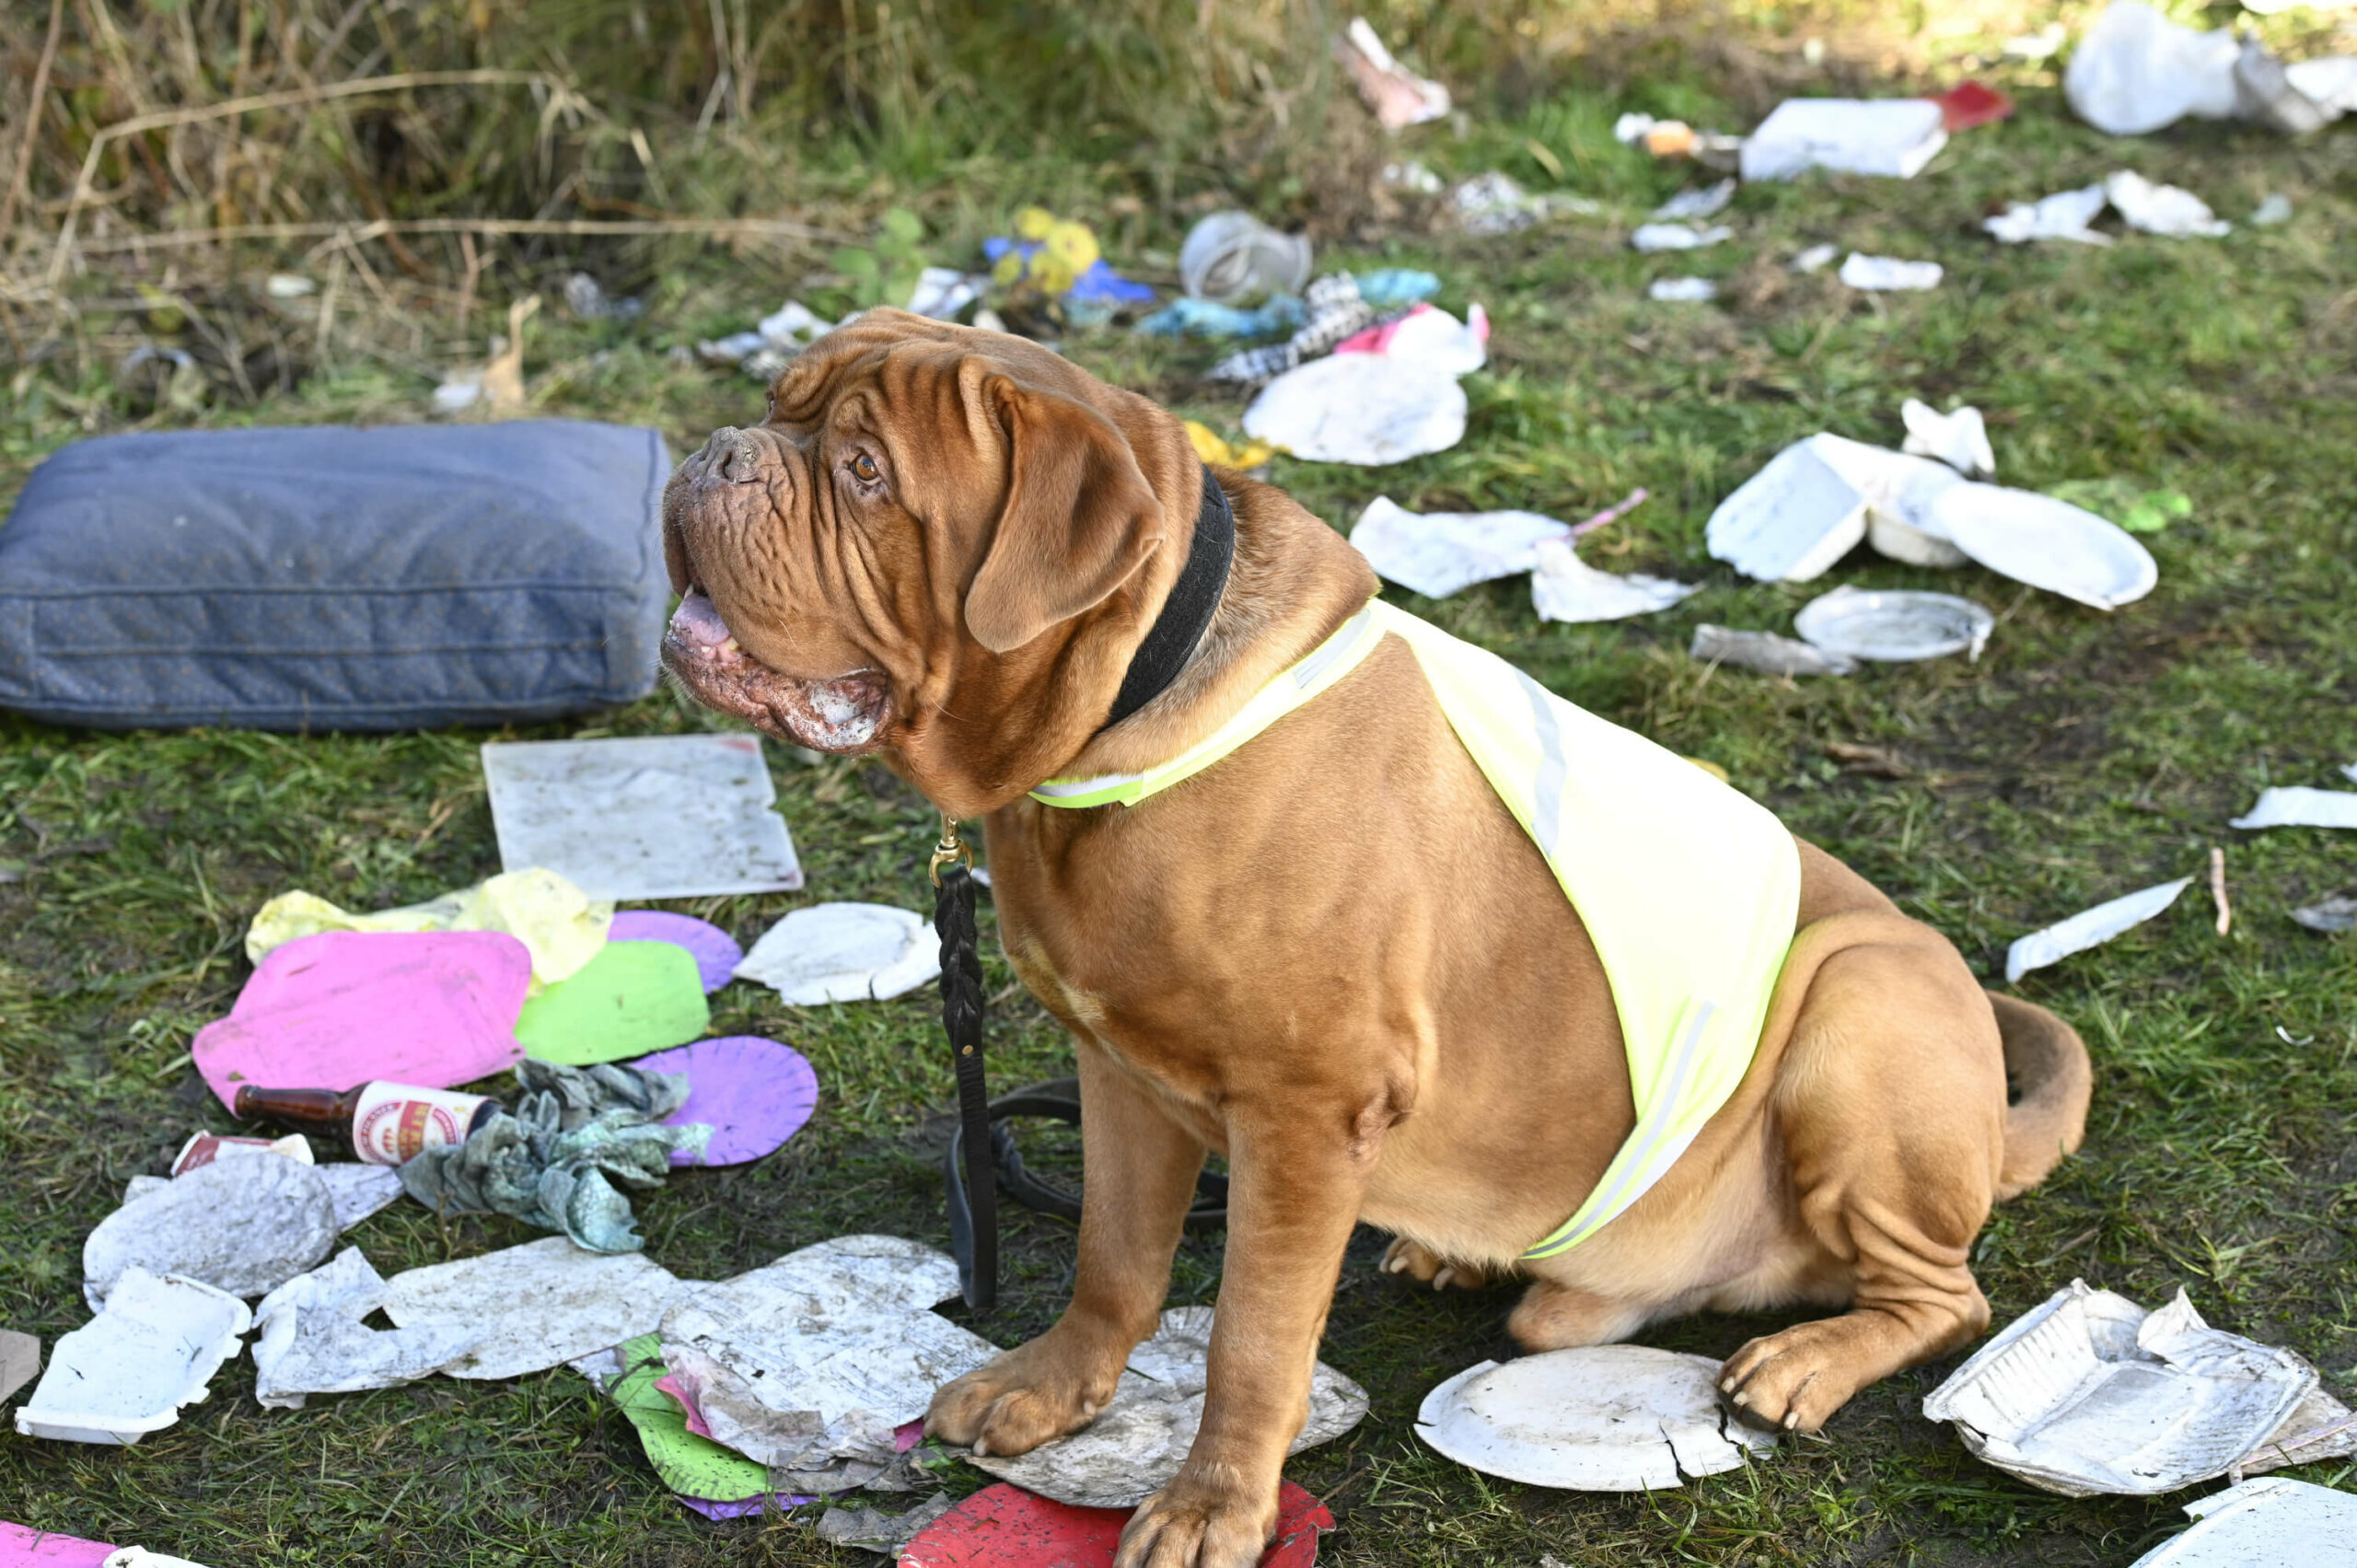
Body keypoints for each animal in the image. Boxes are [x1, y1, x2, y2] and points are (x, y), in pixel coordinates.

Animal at [659, 309, 2092, 1568]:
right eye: (779, 406)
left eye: (864, 473)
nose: (714, 450)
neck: (1127, 707)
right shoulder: (1116, 1069)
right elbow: (1112, 1258)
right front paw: (1054, 1387)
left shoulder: (1301, 1114)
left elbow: (1250, 1333)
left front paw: (1214, 1505)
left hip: (1864, 1005)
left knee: (1940, 1296)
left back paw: (1806, 1357)